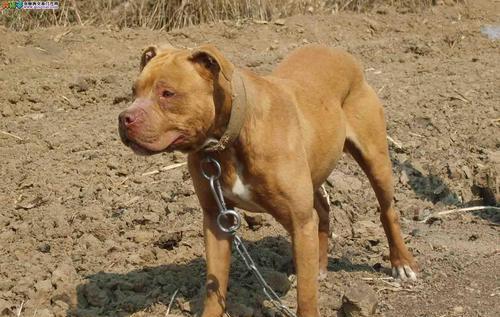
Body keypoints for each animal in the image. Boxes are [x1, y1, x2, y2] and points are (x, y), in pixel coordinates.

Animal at [118, 44, 418, 316]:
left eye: (168, 93)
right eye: (133, 91)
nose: (124, 118)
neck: (230, 139)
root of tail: (341, 53)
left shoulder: (298, 220)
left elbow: (306, 296)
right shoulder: (216, 219)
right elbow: (214, 287)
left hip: (375, 160)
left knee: (387, 210)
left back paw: (401, 263)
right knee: (322, 211)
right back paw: (320, 266)